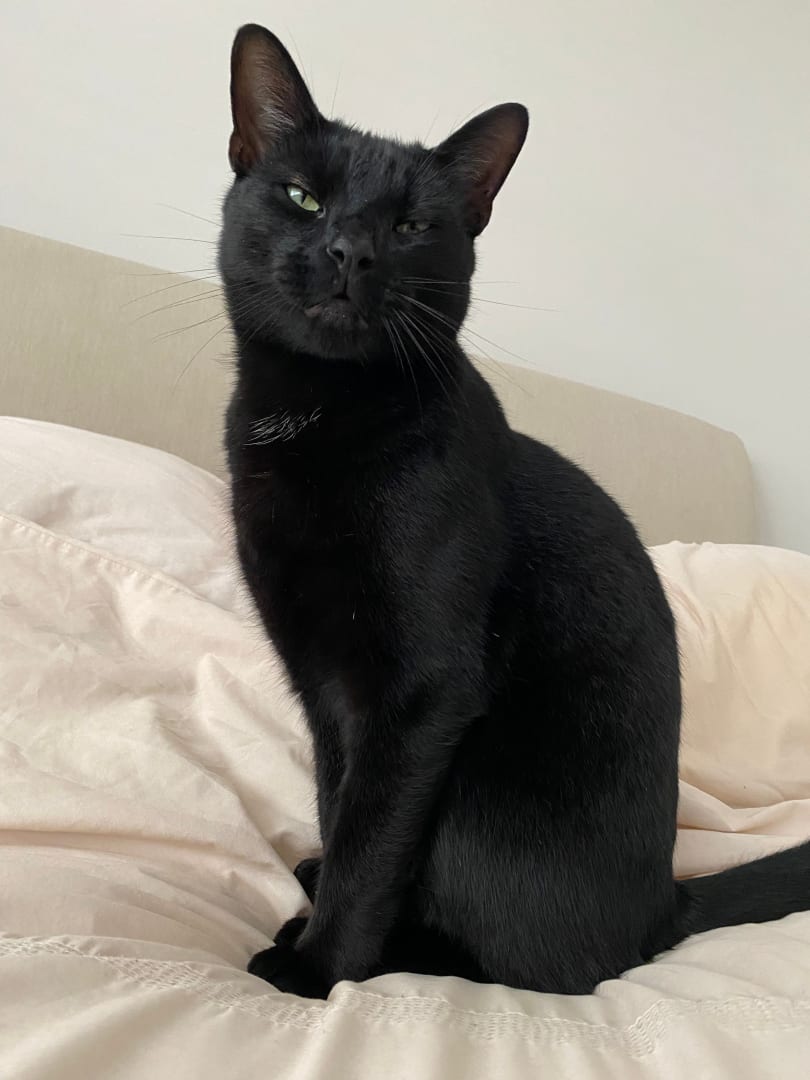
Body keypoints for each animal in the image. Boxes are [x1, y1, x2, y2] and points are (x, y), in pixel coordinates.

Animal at [221, 24, 810, 999]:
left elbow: (373, 843)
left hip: (479, 794)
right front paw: (322, 895)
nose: (351, 251)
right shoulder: (326, 684)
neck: (319, 415)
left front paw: (318, 970)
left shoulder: (422, 692)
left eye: (412, 226)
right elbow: (343, 804)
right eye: (304, 197)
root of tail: (667, 904)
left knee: (542, 967)